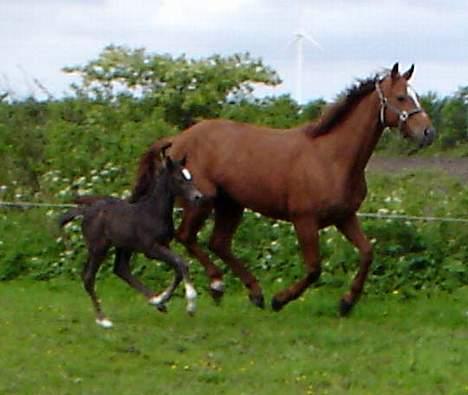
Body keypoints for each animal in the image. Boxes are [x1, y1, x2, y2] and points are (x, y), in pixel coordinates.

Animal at [131, 63, 436, 318]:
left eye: (416, 96)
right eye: (401, 97)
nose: (428, 133)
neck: (331, 158)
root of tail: (178, 139)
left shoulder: (345, 217)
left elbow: (367, 253)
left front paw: (346, 303)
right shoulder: (304, 220)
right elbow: (314, 269)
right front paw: (281, 300)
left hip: (232, 204)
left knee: (218, 242)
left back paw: (254, 293)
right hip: (202, 201)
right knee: (188, 237)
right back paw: (219, 286)